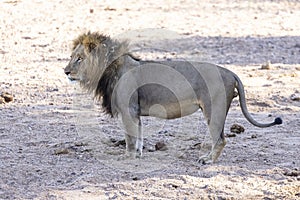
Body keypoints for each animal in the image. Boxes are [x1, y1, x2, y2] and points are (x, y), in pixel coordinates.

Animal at [64, 31, 282, 164]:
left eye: (79, 59)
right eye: (71, 57)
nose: (65, 71)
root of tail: (231, 73)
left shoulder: (128, 110)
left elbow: (130, 137)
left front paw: (128, 157)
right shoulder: (135, 112)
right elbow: (139, 135)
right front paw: (138, 154)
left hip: (214, 109)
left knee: (220, 139)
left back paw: (207, 160)